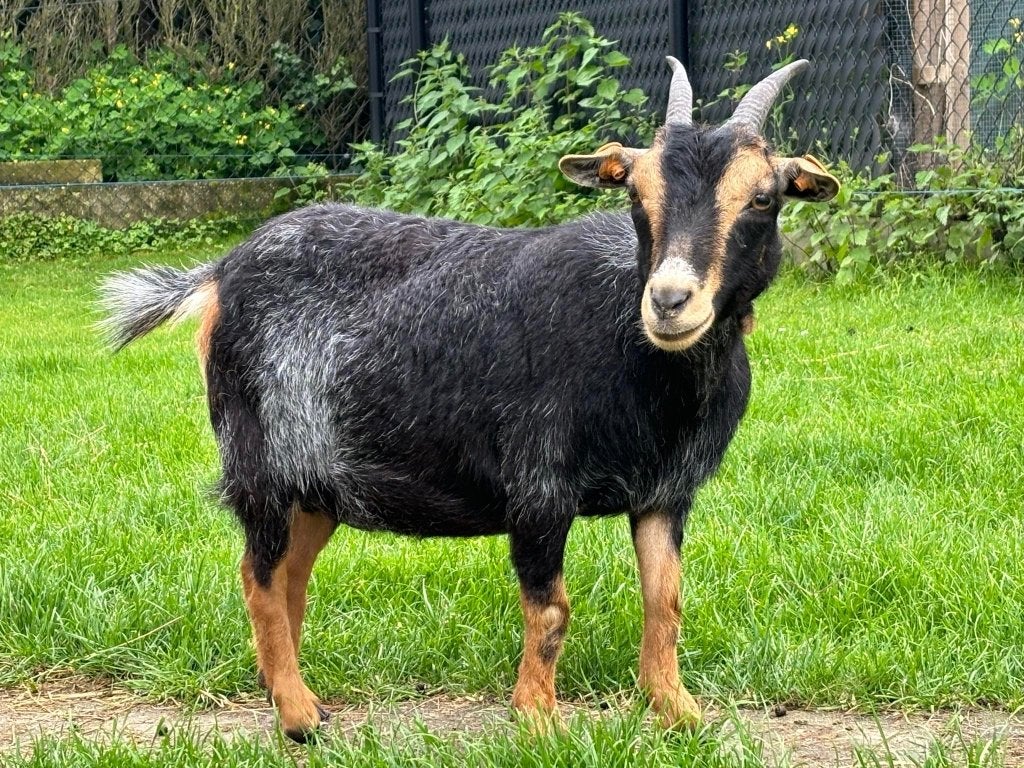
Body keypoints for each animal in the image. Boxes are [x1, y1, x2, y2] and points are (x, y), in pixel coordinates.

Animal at [100, 57, 839, 741]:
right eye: (636, 192)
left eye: (764, 197)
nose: (670, 300)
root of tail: (220, 271)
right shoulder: (539, 486)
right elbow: (551, 608)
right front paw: (538, 719)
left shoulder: (665, 491)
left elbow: (666, 599)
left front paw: (678, 712)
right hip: (262, 463)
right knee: (258, 576)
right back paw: (298, 717)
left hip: (318, 484)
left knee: (290, 578)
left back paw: (298, 697)